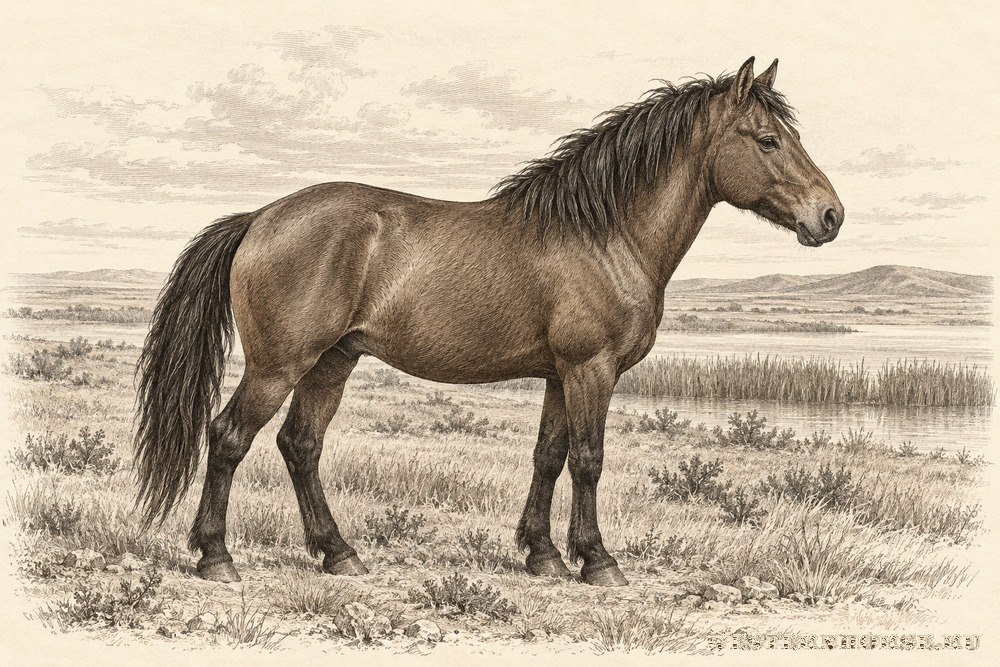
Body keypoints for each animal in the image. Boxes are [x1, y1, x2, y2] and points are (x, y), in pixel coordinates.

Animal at [134, 57, 843, 587]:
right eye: (769, 140)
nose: (830, 215)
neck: (604, 234)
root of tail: (259, 218)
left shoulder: (562, 374)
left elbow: (549, 456)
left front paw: (543, 555)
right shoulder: (592, 370)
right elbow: (589, 459)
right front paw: (598, 561)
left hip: (333, 361)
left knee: (300, 445)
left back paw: (340, 554)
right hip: (279, 365)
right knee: (229, 437)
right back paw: (216, 558)